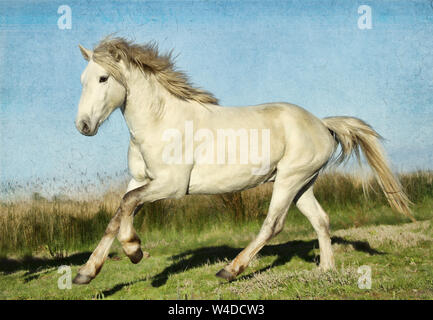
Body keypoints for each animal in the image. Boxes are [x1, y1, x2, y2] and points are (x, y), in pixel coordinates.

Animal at [72, 37, 414, 284]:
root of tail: (321, 123)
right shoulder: (141, 180)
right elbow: (117, 215)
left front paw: (134, 249)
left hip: (289, 180)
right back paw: (325, 271)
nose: (83, 126)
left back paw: (230, 270)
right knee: (320, 219)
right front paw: (86, 273)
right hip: (303, 184)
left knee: (273, 224)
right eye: (82, 80)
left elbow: (127, 204)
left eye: (103, 78)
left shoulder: (171, 185)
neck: (161, 121)